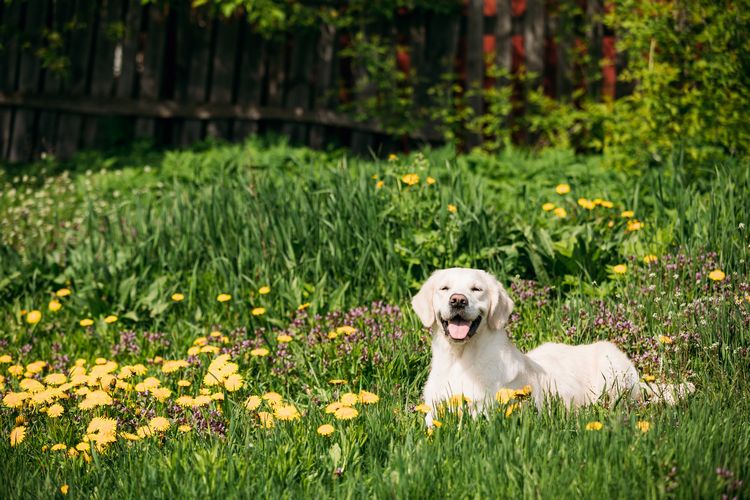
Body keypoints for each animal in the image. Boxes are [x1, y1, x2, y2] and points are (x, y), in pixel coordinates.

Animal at [414, 268, 696, 424]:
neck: (461, 359)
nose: (458, 300)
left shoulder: (490, 409)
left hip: (612, 373)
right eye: (444, 288)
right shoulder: (433, 409)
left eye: (476, 289)